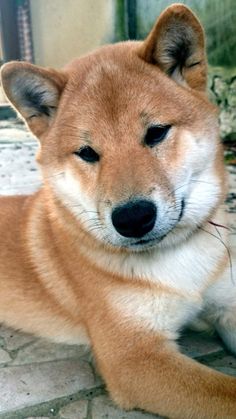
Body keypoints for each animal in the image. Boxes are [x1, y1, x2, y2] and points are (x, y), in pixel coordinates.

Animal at [0, 4, 236, 419]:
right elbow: (228, 394)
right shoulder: (136, 357)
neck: (178, 262)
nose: (132, 219)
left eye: (156, 132)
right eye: (87, 153)